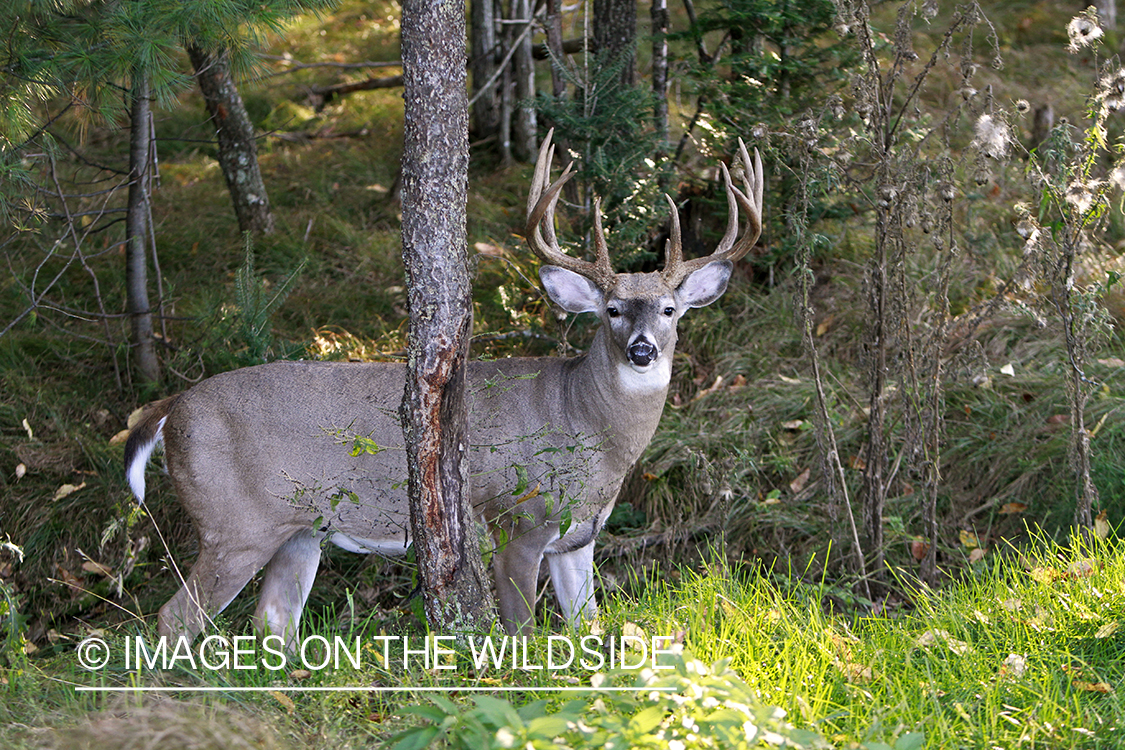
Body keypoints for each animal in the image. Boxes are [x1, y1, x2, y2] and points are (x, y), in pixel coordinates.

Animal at [125, 132, 765, 647]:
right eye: (611, 310)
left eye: (669, 310)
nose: (642, 349)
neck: (587, 429)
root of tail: (169, 409)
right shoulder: (518, 519)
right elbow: (521, 629)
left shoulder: (578, 538)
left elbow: (586, 624)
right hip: (232, 523)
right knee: (174, 617)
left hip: (299, 531)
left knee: (273, 623)